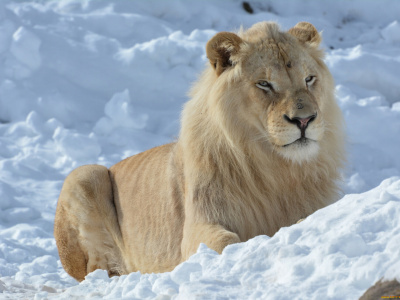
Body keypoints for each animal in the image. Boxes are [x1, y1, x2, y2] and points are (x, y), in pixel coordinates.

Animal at [54, 21, 346, 282]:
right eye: (264, 84)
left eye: (309, 79)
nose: (304, 120)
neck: (275, 167)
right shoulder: (197, 229)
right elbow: (227, 241)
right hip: (84, 174)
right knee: (95, 269)